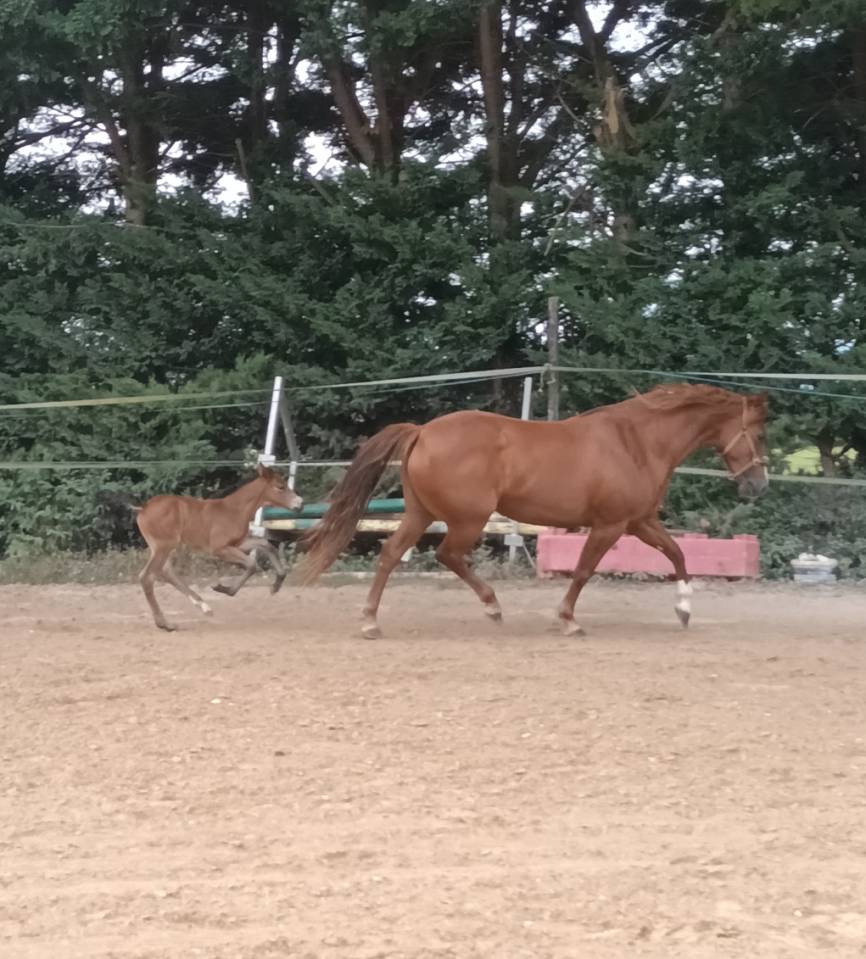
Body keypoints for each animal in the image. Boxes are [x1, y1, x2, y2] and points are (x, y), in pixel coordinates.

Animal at [135, 464, 303, 631]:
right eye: (280, 487)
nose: (300, 504)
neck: (235, 509)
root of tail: (144, 509)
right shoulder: (219, 549)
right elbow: (252, 564)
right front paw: (226, 589)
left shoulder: (236, 544)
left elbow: (266, 545)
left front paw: (277, 584)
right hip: (163, 546)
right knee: (147, 576)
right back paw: (165, 623)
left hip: (164, 547)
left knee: (166, 571)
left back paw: (203, 607)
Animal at [296, 384, 768, 638]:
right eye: (761, 434)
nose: (759, 485)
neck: (637, 441)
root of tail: (423, 431)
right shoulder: (611, 524)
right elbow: (583, 571)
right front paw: (568, 621)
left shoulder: (639, 521)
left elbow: (678, 553)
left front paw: (684, 610)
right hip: (468, 518)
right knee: (448, 555)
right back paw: (491, 608)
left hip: (420, 513)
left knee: (392, 554)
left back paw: (371, 622)